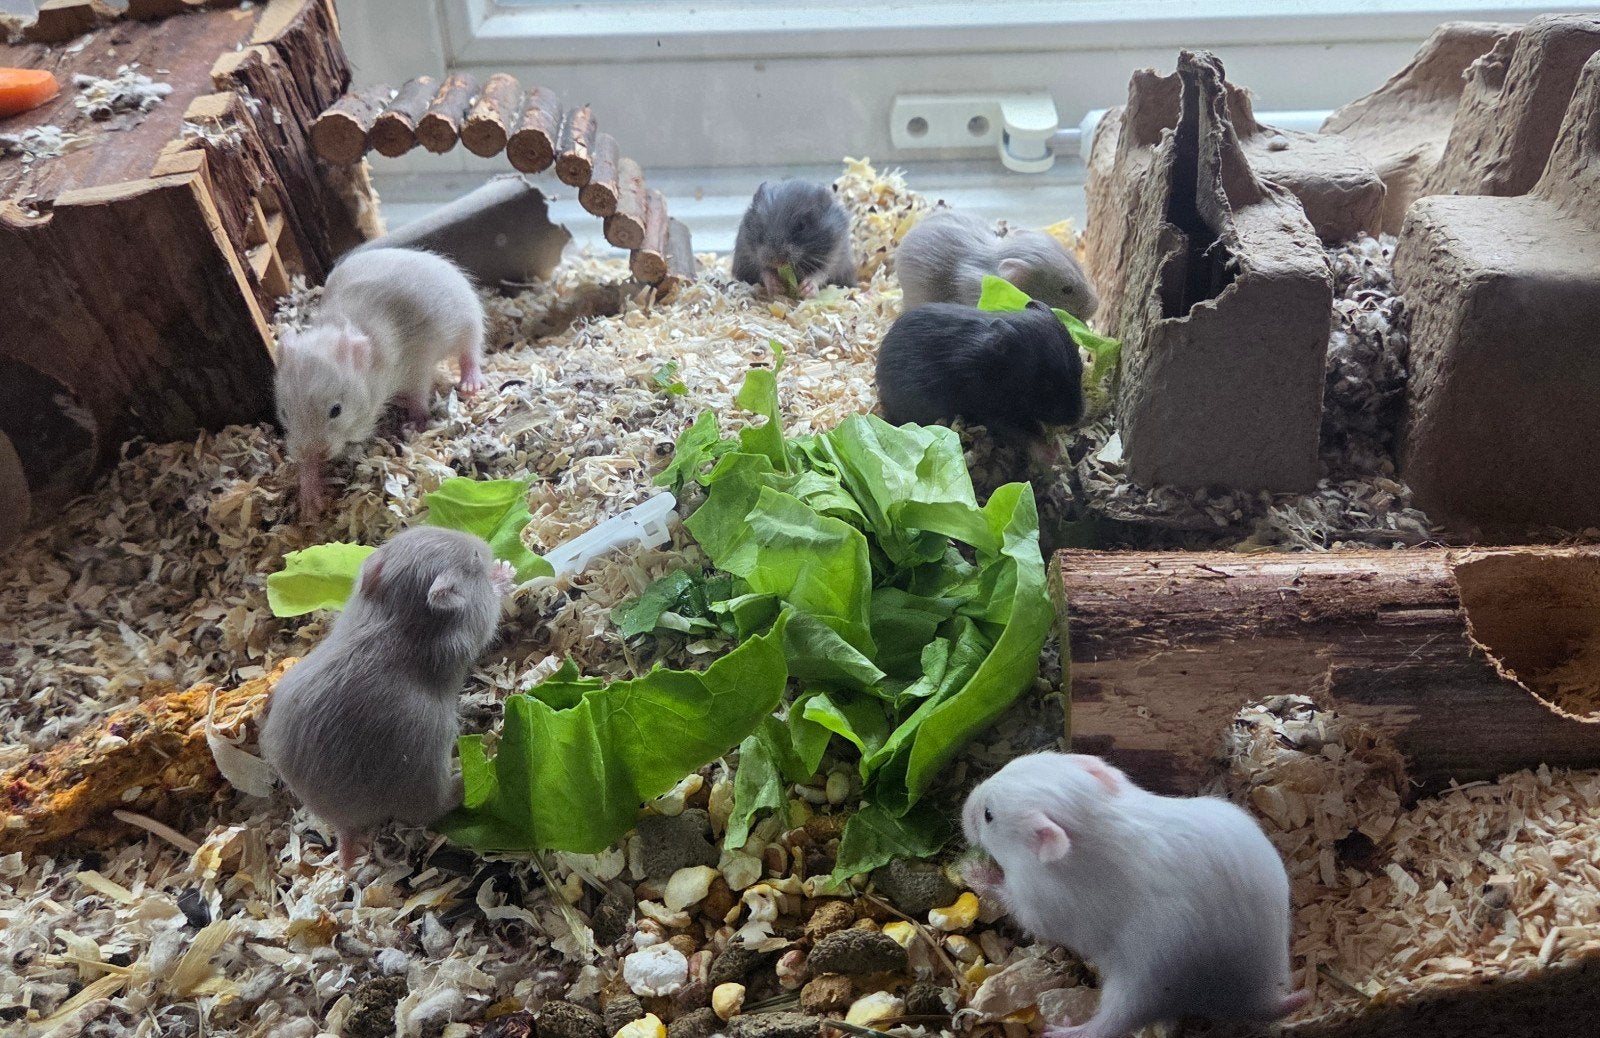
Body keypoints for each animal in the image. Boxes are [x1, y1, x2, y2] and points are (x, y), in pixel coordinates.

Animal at [259, 526, 515, 870]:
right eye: (474, 557)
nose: (482, 543)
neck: (395, 604)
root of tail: (343, 824)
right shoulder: (476, 623)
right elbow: (492, 609)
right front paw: (504, 570)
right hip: (426, 766)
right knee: (432, 808)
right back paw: (479, 764)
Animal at [275, 247, 488, 515]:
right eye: (284, 413)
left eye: (336, 410)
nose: (311, 453)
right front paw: (310, 500)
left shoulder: (417, 367)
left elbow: (418, 397)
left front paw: (415, 424)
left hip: (469, 324)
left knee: (470, 353)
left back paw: (470, 384)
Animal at [962, 752, 1310, 1038]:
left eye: (989, 815)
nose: (964, 807)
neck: (1091, 819)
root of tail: (1258, 997)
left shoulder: (1036, 903)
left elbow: (1007, 898)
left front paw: (973, 871)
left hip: (1141, 986)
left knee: (1108, 1027)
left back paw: (1057, 1029)